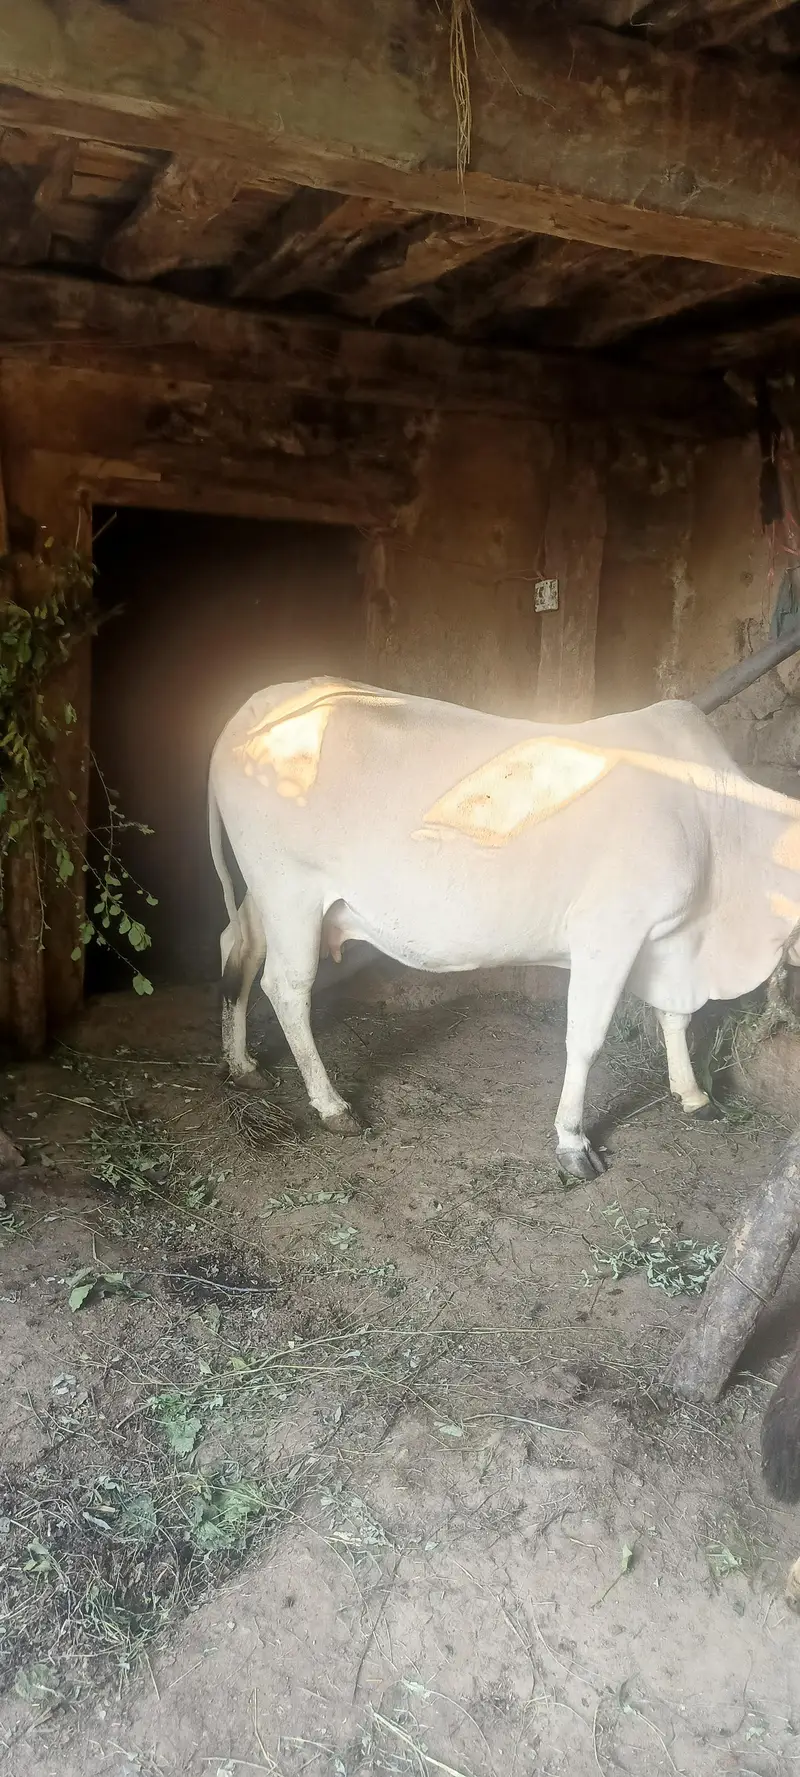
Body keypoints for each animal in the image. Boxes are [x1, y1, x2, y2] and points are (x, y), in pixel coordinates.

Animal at [208, 677, 800, 1180]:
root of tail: (250, 710)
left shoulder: (672, 939)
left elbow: (675, 1016)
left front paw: (693, 1095)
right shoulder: (610, 931)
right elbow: (586, 1038)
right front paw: (572, 1142)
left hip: (267, 892)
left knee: (237, 947)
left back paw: (242, 1064)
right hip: (290, 889)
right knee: (286, 986)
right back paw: (332, 1106)